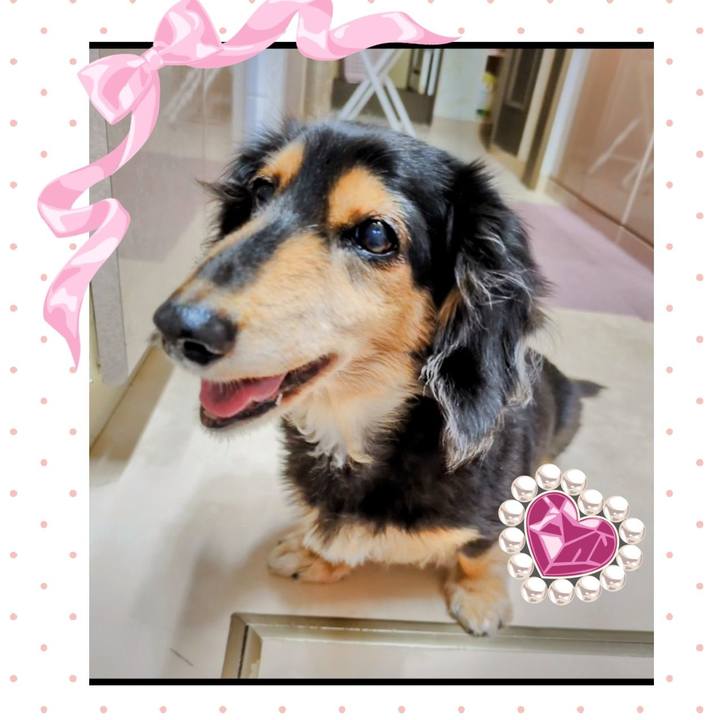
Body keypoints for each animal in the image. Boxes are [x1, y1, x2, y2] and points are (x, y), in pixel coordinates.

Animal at [153, 119, 588, 635]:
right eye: (260, 191)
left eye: (376, 234)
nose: (177, 326)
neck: (350, 426)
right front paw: (317, 556)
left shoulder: (491, 514)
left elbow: (477, 550)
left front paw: (481, 595)